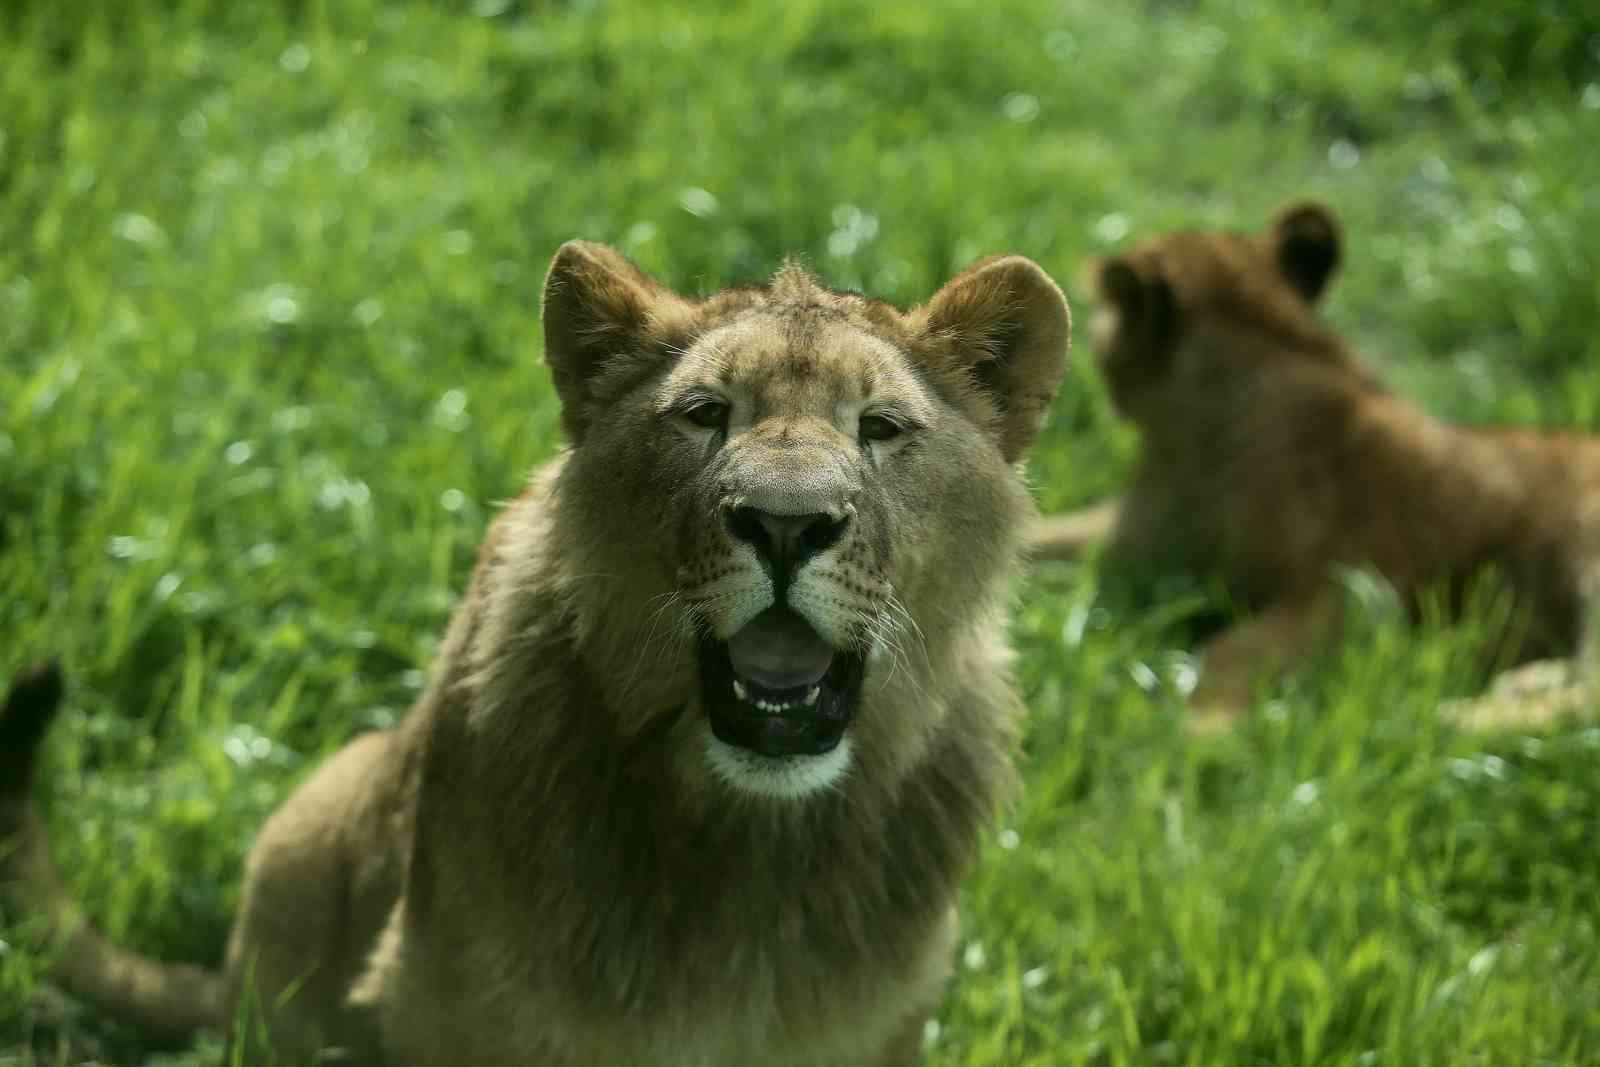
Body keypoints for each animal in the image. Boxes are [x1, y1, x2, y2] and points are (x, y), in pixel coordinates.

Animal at [1024, 199, 1600, 735]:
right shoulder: (1139, 533)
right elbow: (1045, 536)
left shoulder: (1358, 589)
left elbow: (1232, 647)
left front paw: (1198, 730)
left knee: (1587, 700)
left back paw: (1440, 717)